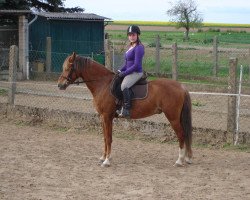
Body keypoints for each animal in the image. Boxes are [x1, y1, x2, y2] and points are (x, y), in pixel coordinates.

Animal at [57, 52, 192, 167]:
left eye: (68, 68)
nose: (60, 85)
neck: (103, 84)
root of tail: (181, 86)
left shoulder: (107, 117)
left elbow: (109, 138)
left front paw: (107, 161)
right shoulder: (103, 117)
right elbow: (105, 138)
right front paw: (103, 157)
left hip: (173, 118)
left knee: (181, 135)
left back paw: (179, 160)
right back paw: (186, 158)